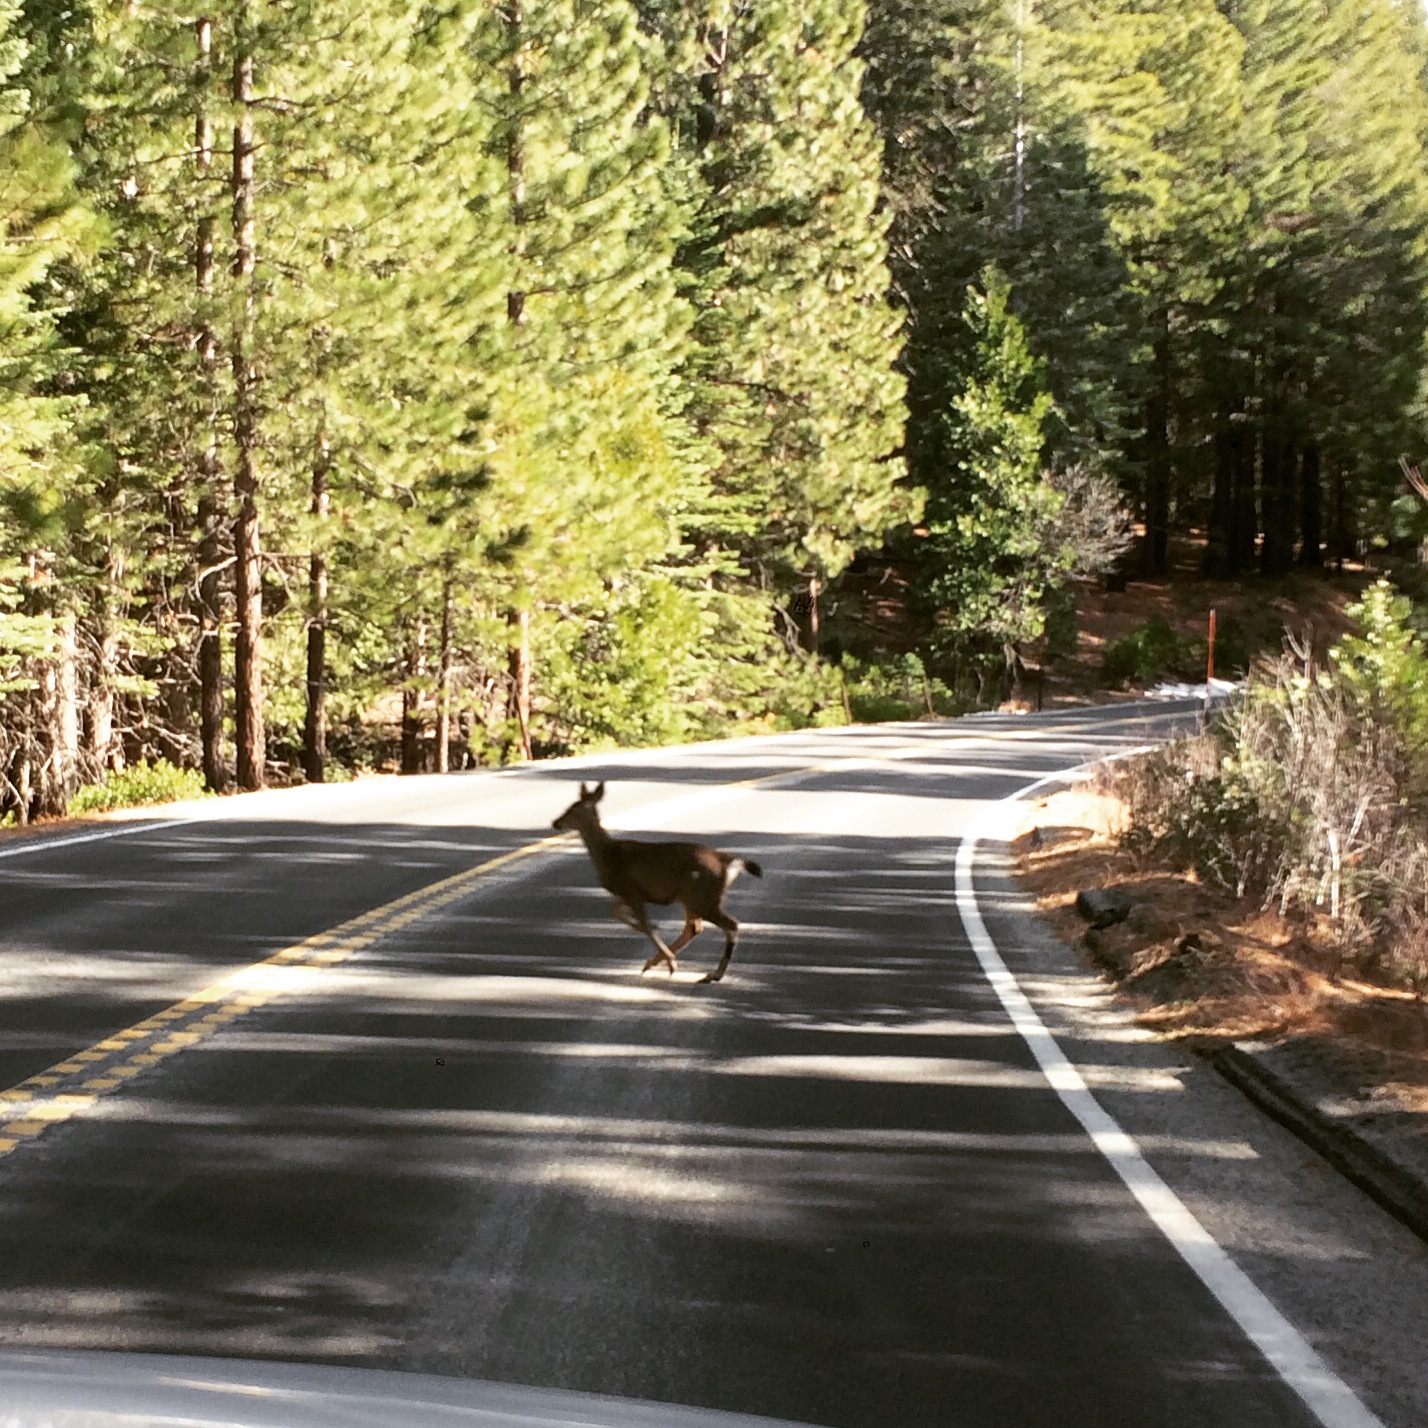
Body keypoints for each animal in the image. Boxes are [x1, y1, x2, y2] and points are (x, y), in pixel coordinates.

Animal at [551, 782, 765, 982]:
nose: (556, 822)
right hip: (691, 897)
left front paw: (670, 960)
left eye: (573, 809)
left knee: (731, 924)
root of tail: (728, 862)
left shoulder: (632, 890)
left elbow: (643, 924)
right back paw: (660, 963)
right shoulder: (628, 892)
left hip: (702, 897)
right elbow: (618, 913)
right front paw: (659, 947)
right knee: (694, 928)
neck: (608, 854)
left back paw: (714, 974)